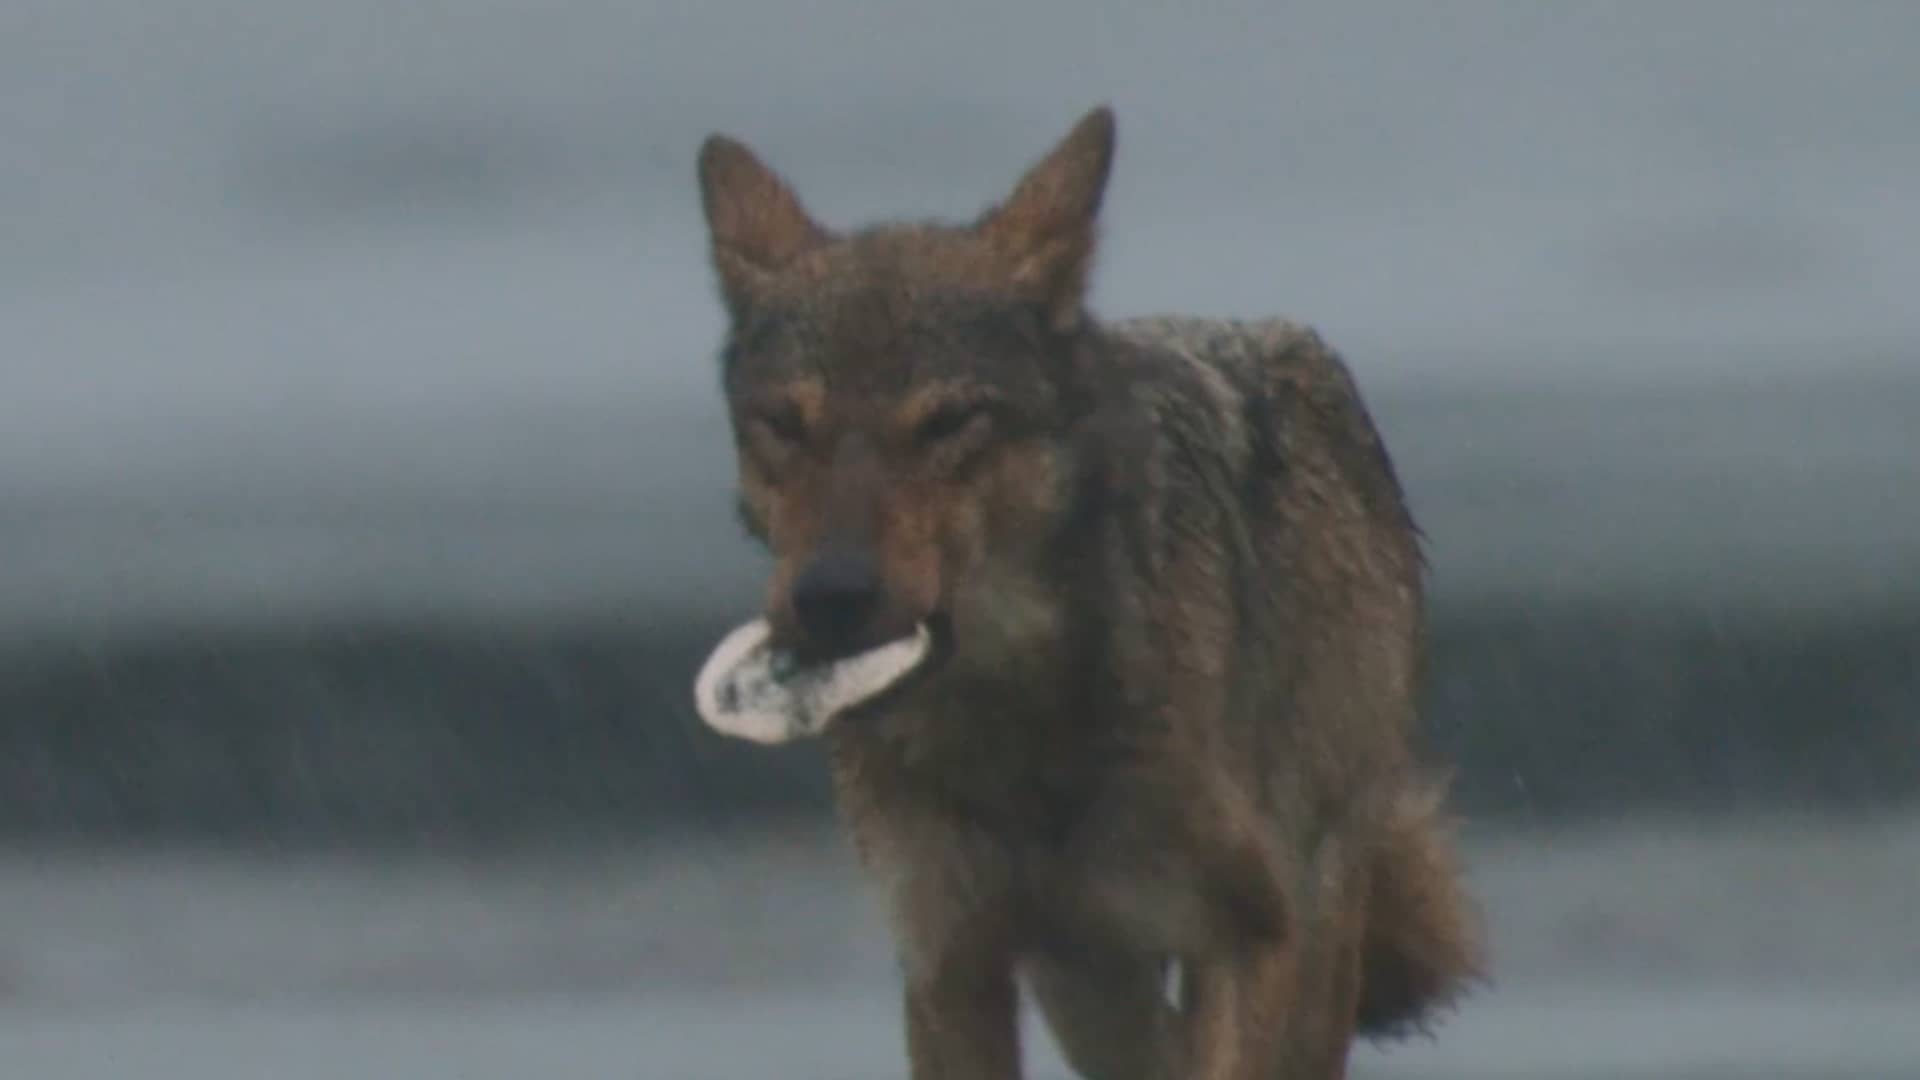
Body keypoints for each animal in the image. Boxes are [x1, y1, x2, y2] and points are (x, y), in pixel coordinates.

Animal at [689, 105, 1482, 1079]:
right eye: (784, 425)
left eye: (949, 422)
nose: (831, 593)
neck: (1018, 727)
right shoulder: (954, 961)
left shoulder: (1252, 936)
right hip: (1093, 994)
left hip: (1309, 932)